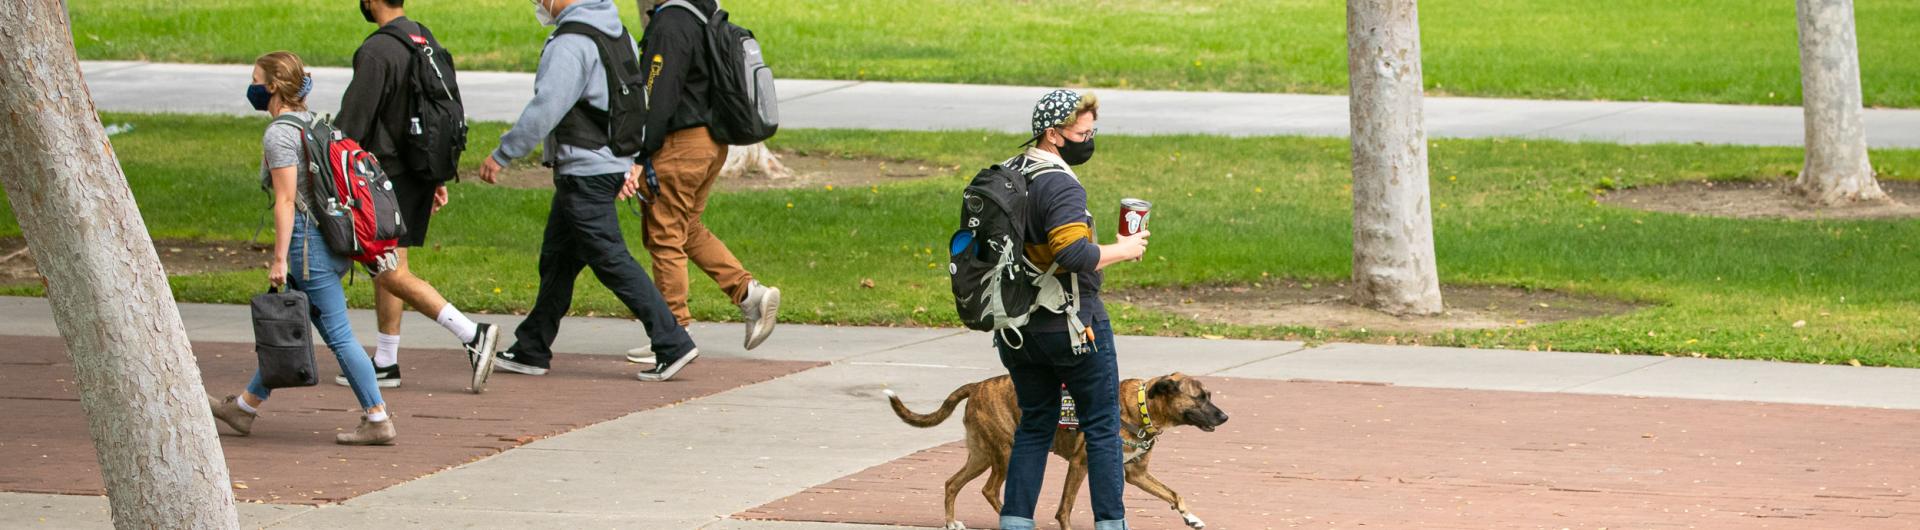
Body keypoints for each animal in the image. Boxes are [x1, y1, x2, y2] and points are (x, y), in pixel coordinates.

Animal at [887, 372, 1228, 530]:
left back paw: (951, 522)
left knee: (952, 483)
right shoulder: (1080, 464)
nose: (1225, 417)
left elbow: (1173, 494)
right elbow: (1065, 507)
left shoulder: (1136, 473)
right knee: (989, 489)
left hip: (983, 455)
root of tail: (977, 385)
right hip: (1007, 454)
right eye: (1199, 398)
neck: (1141, 407)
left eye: (1209, 395)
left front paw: (1190, 517)